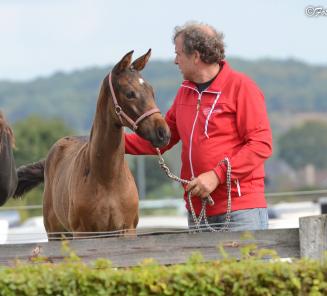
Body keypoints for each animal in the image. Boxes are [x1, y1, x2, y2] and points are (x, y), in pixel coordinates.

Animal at [14, 50, 170, 240]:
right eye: (130, 93)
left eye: (152, 91)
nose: (163, 133)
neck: (107, 179)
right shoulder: (84, 232)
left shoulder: (127, 230)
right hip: (56, 233)